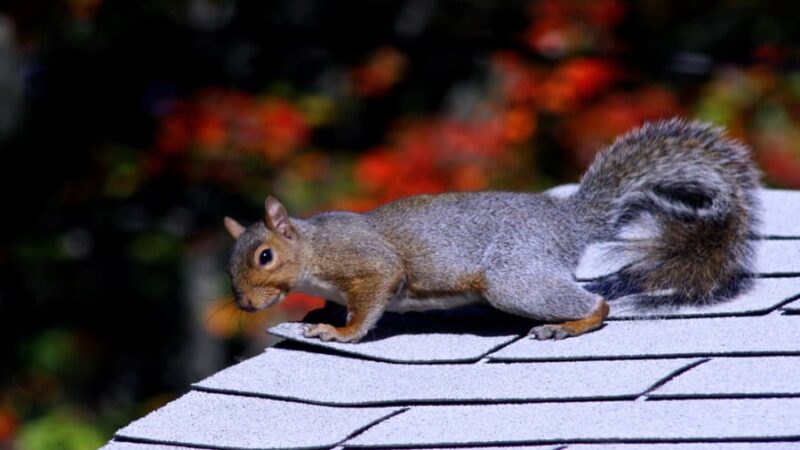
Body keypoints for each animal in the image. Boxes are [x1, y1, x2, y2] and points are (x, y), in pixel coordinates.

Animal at [223, 118, 756, 342]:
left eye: (265, 256)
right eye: (232, 265)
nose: (245, 305)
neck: (312, 249)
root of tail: (565, 223)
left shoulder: (367, 263)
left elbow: (372, 297)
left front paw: (342, 332)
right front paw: (321, 312)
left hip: (512, 276)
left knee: (596, 305)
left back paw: (568, 325)